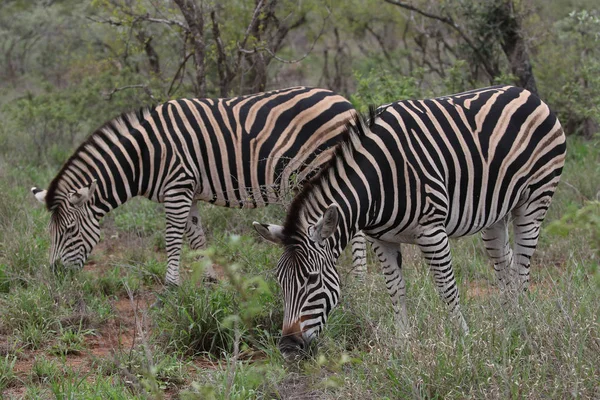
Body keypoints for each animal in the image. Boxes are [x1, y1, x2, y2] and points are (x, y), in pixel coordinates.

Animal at [30, 87, 368, 288]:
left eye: (69, 231)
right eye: (50, 233)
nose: (55, 275)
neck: (144, 156)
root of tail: (343, 101)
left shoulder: (177, 185)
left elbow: (173, 237)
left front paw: (170, 285)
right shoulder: (188, 191)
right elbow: (195, 236)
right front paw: (208, 279)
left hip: (323, 165)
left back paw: (360, 279)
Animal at [253, 85, 568, 360]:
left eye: (313, 279)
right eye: (280, 280)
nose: (288, 348)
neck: (376, 182)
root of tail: (526, 92)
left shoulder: (432, 232)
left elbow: (447, 290)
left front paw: (464, 340)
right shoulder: (380, 239)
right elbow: (395, 289)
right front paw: (403, 342)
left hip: (535, 199)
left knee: (523, 266)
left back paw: (522, 322)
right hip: (495, 214)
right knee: (506, 266)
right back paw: (509, 322)